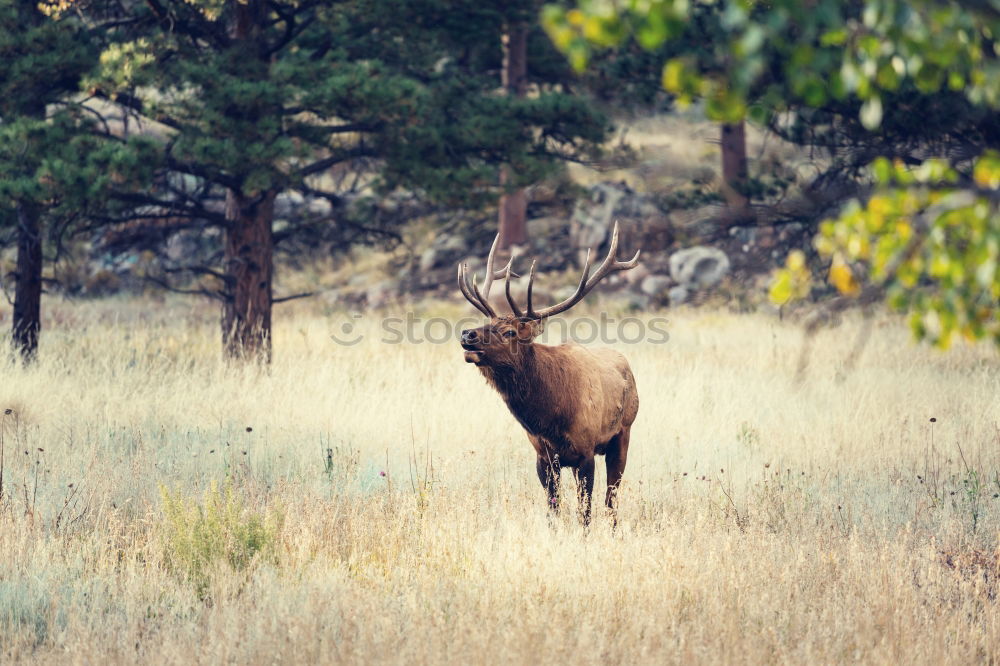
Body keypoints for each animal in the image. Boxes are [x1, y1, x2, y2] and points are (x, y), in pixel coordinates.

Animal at [458, 223, 640, 524]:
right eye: (487, 322)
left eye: (510, 332)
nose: (467, 334)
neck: (550, 418)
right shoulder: (543, 457)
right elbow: (552, 509)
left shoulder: (585, 451)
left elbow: (585, 511)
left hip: (623, 433)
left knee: (612, 499)